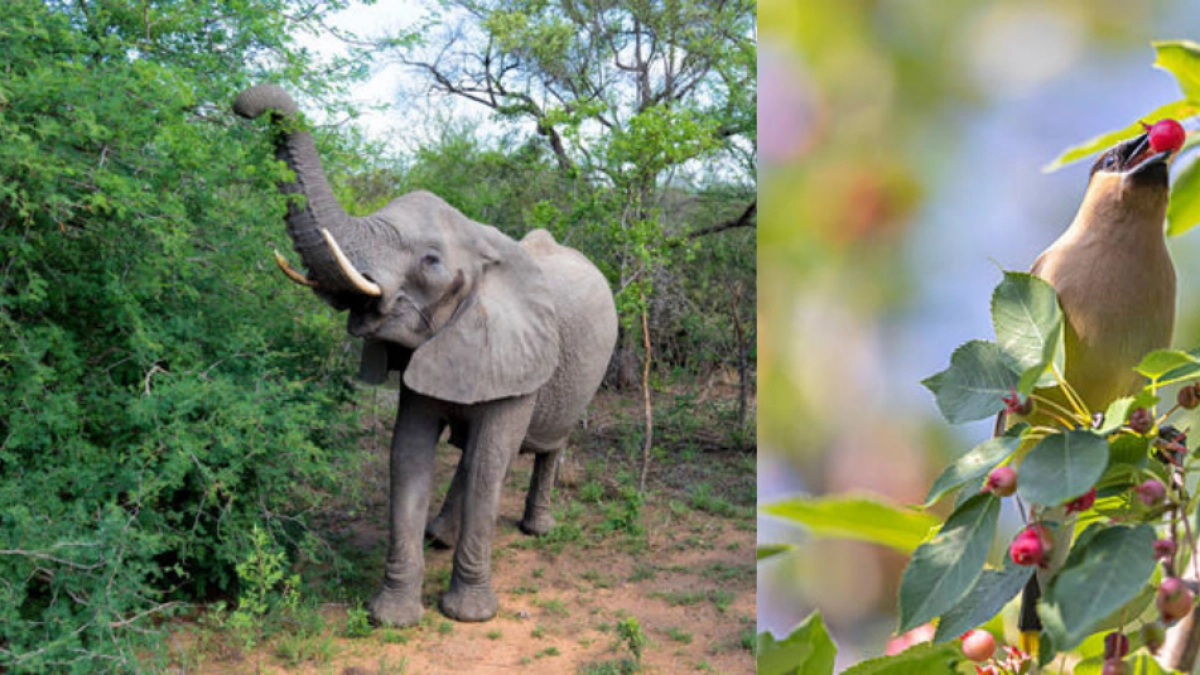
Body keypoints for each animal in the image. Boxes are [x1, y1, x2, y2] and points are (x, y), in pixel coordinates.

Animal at [233, 84, 619, 626]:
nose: (243, 106)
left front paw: (469, 615)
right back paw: (440, 535)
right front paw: (392, 618)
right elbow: (409, 455)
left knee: (542, 447)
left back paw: (535, 529)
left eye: (431, 262)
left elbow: (488, 464)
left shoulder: (518, 357)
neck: (483, 243)